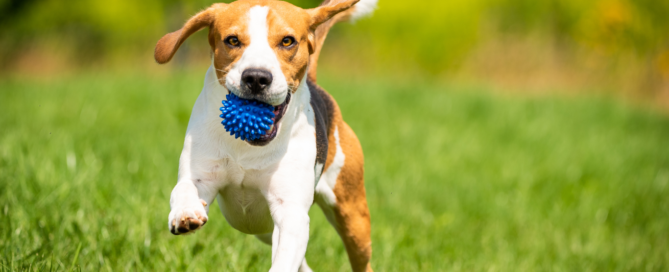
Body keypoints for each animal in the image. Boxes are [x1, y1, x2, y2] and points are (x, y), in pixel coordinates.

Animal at [154, 1, 378, 270]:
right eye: (232, 40)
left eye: (287, 41)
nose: (256, 77)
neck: (248, 147)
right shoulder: (201, 176)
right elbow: (184, 188)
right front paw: (185, 213)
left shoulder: (291, 213)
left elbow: (284, 258)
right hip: (263, 229)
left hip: (352, 217)